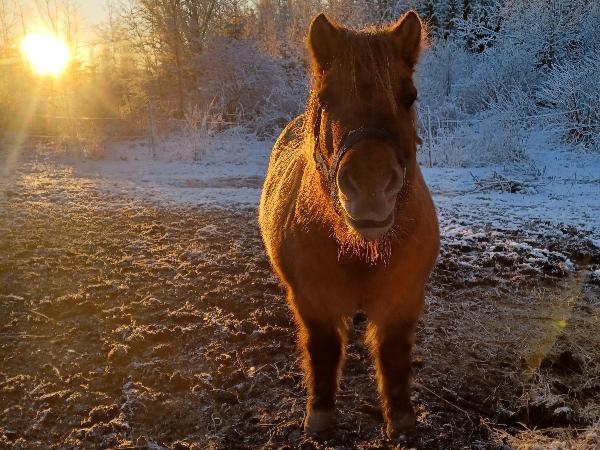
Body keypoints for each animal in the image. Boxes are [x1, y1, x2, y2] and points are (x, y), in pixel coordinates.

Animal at [258, 11, 440, 440]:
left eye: (409, 96)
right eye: (326, 100)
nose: (370, 186)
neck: (360, 251)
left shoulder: (402, 301)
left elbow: (393, 356)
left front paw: (401, 420)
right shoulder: (313, 302)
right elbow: (323, 351)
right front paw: (321, 416)